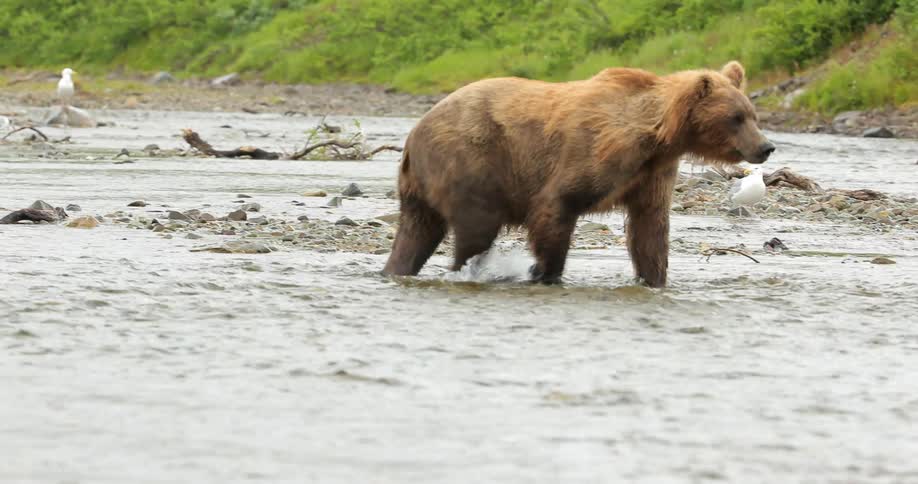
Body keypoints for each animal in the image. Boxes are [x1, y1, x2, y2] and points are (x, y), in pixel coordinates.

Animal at [383, 61, 774, 287]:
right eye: (736, 117)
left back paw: (397, 269)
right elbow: (556, 206)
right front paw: (544, 272)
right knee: (476, 226)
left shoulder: (652, 173)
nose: (766, 146)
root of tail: (413, 135)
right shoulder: (592, 153)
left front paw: (655, 278)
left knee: (416, 232)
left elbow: (650, 229)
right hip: (471, 159)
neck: (658, 137)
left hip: (424, 185)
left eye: (753, 114)